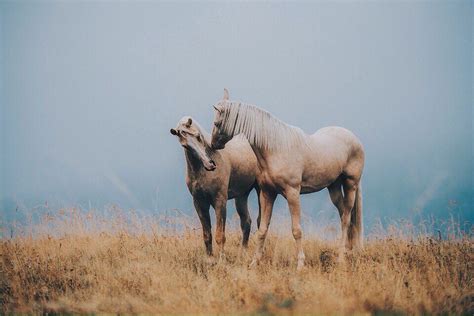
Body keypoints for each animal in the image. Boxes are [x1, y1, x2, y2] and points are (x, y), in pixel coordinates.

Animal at [170, 116, 260, 256]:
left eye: (198, 136)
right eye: (185, 145)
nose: (210, 164)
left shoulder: (220, 200)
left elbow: (220, 236)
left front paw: (221, 258)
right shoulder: (199, 202)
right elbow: (207, 235)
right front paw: (209, 257)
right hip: (242, 196)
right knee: (246, 222)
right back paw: (243, 252)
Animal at [209, 89, 364, 270]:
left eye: (217, 123)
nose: (213, 145)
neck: (275, 149)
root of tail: (354, 139)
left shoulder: (293, 193)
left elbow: (296, 230)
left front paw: (300, 264)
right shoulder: (267, 193)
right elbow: (262, 229)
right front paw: (254, 262)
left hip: (351, 183)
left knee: (346, 218)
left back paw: (340, 258)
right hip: (334, 186)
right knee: (343, 214)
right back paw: (347, 251)